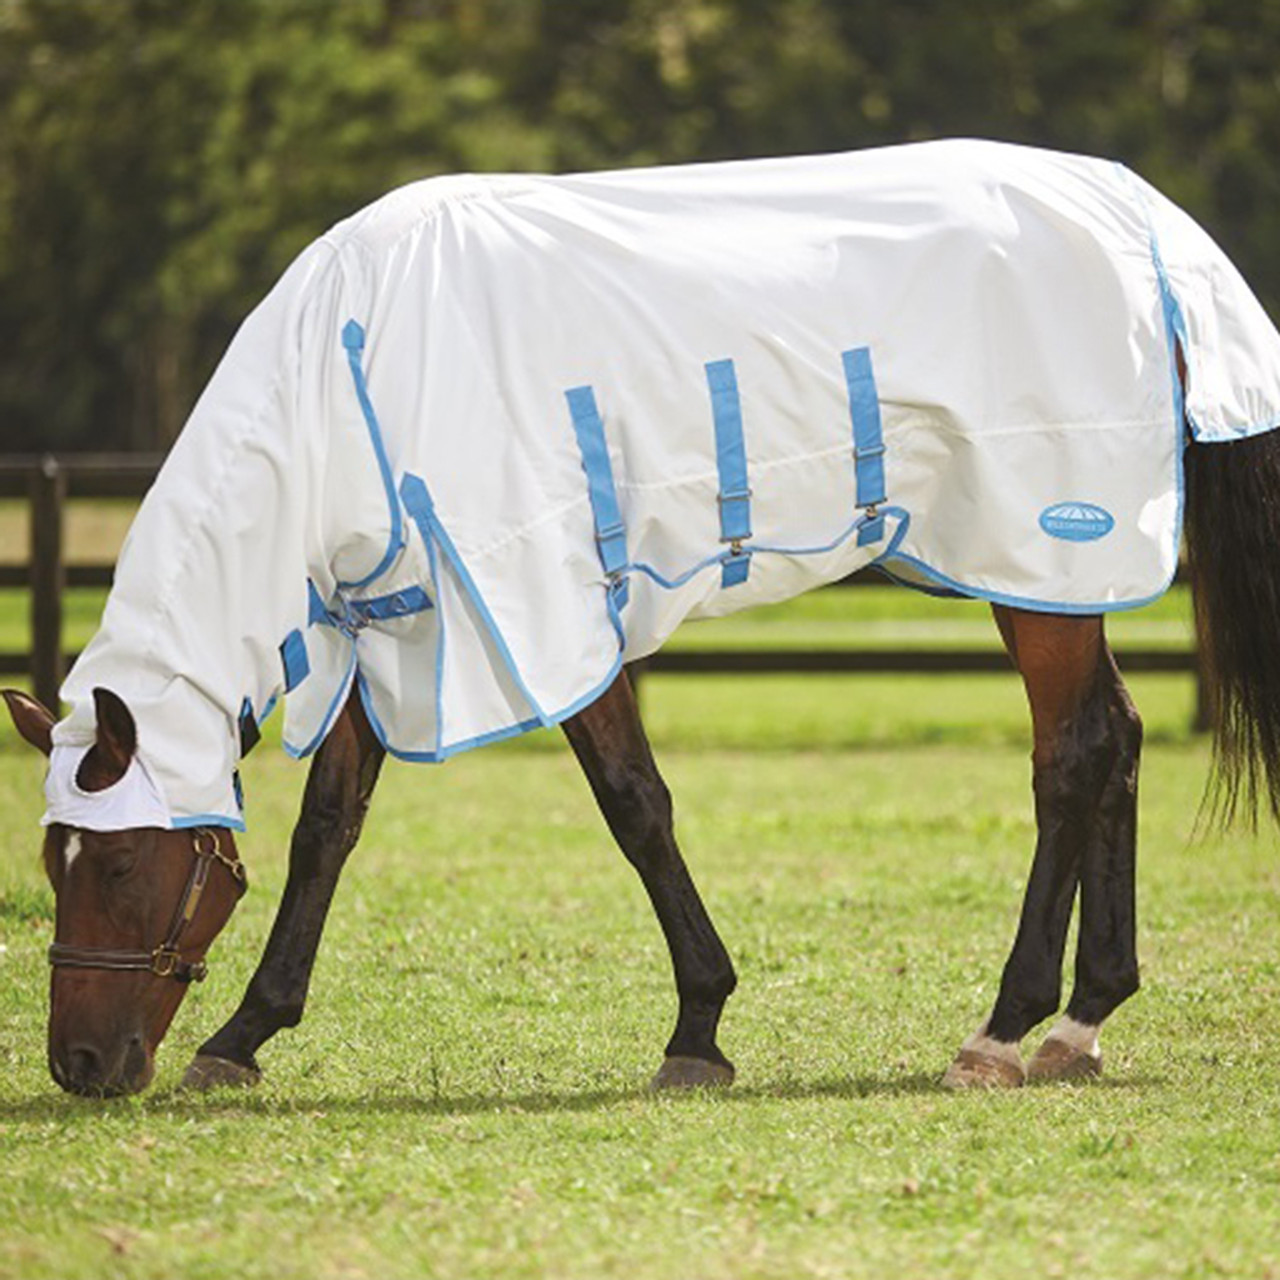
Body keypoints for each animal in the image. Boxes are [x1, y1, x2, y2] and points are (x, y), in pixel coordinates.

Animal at [2, 142, 1280, 1100]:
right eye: (53, 856)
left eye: (117, 861)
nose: (81, 1063)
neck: (350, 375)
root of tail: (1139, 220)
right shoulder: (394, 618)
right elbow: (328, 827)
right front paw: (242, 1035)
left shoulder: (542, 611)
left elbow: (633, 805)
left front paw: (696, 1031)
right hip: (1052, 575)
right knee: (1114, 739)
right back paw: (1082, 1018)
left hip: (1036, 555)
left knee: (1071, 753)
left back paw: (1004, 1028)